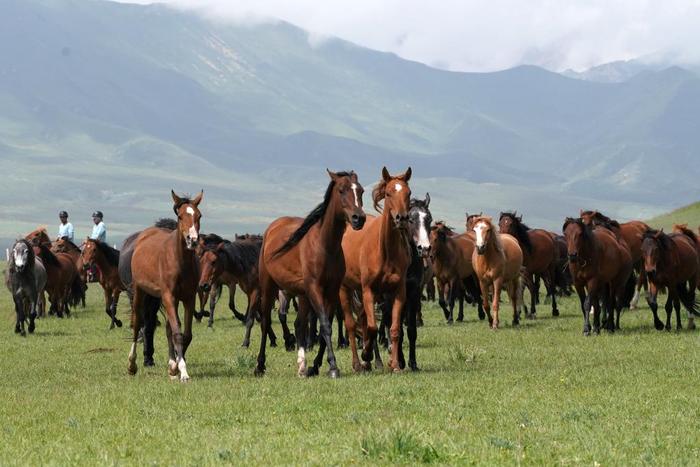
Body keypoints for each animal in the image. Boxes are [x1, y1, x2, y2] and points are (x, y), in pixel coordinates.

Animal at [127, 191, 202, 384]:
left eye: (199, 215)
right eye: (181, 216)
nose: (193, 240)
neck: (179, 261)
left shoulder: (188, 298)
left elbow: (185, 334)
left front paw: (174, 367)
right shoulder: (169, 296)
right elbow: (176, 333)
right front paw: (183, 371)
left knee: (168, 328)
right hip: (140, 291)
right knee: (137, 323)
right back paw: (131, 364)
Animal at [256, 170, 366, 378]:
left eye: (361, 191)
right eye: (341, 190)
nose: (359, 218)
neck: (325, 246)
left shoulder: (331, 290)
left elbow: (325, 326)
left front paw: (315, 366)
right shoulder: (315, 288)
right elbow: (324, 325)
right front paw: (333, 367)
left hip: (302, 294)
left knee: (299, 324)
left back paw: (302, 366)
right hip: (269, 286)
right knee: (265, 322)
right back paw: (259, 365)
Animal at [340, 168, 412, 372]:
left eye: (409, 193)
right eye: (388, 193)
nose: (402, 218)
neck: (384, 250)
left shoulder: (398, 291)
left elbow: (394, 329)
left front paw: (394, 364)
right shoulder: (368, 291)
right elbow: (372, 328)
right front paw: (366, 354)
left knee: (362, 320)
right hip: (346, 289)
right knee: (351, 324)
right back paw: (358, 362)